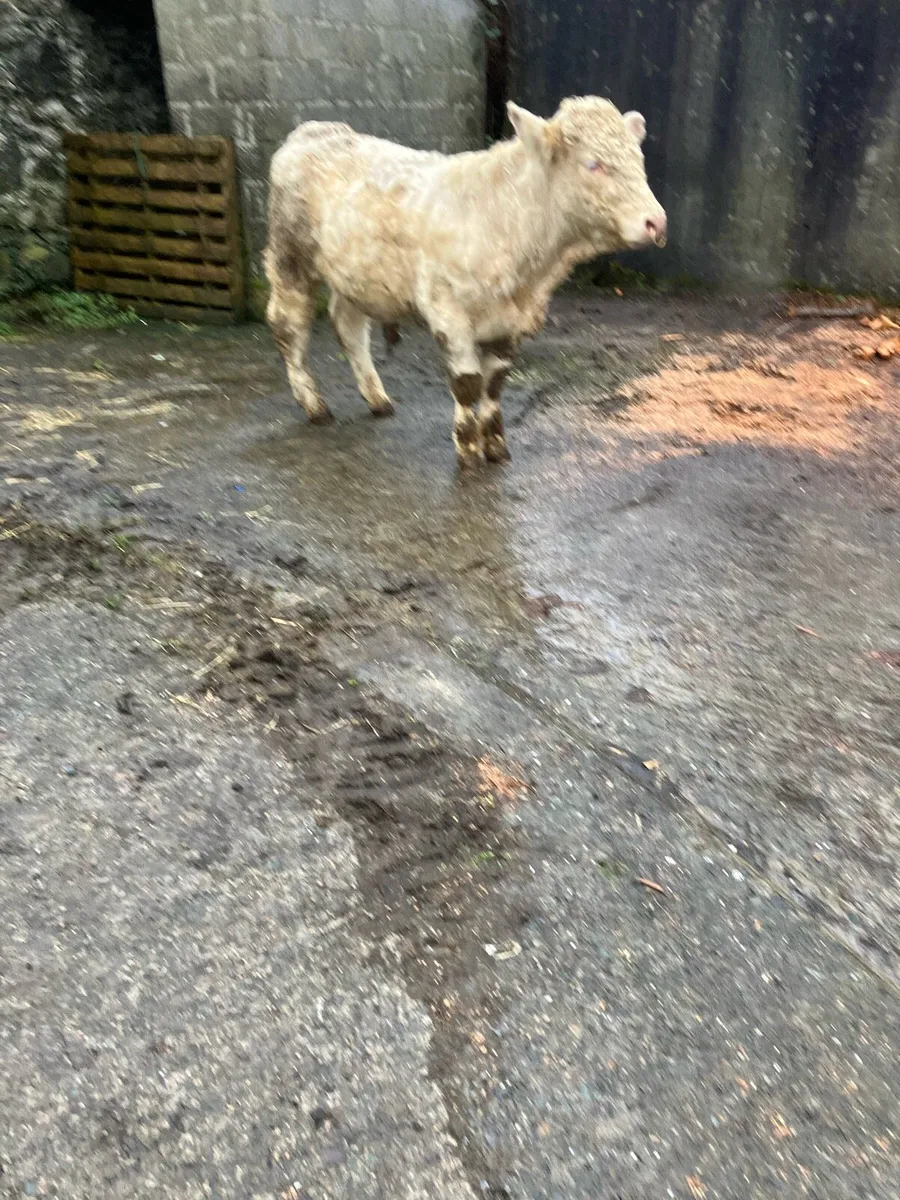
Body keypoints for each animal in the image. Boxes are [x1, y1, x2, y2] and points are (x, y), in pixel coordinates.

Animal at [265, 96, 667, 466]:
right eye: (593, 164)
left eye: (639, 161)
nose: (656, 222)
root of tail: (314, 130)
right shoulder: (448, 312)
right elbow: (468, 383)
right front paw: (469, 450)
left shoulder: (509, 322)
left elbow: (494, 384)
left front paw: (496, 447)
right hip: (290, 259)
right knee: (288, 325)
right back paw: (314, 404)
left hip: (355, 272)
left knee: (348, 326)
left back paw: (377, 400)